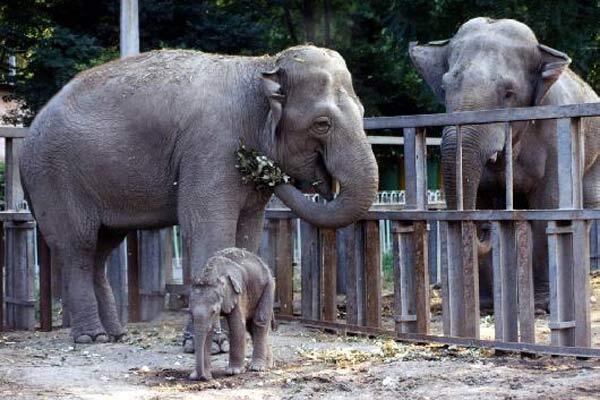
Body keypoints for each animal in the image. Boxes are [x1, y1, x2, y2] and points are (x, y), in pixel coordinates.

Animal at [22, 44, 380, 344]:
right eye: (322, 124)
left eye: (364, 113)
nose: (265, 166)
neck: (261, 67)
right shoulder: (211, 147)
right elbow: (207, 228)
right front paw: (211, 344)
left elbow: (247, 234)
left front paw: (238, 335)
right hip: (55, 179)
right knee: (78, 248)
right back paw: (91, 337)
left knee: (101, 249)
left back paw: (115, 335)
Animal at [190, 247, 276, 382]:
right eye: (190, 312)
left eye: (214, 311)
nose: (204, 378)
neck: (212, 274)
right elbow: (207, 333)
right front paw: (197, 376)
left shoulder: (237, 293)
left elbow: (237, 325)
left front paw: (233, 372)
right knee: (252, 328)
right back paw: (268, 365)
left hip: (268, 286)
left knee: (259, 321)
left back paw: (257, 367)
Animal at [410, 17, 600, 308]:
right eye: (444, 88)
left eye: (509, 93)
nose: (485, 231)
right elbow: (482, 201)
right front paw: (486, 304)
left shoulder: (556, 135)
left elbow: (549, 205)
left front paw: (542, 304)